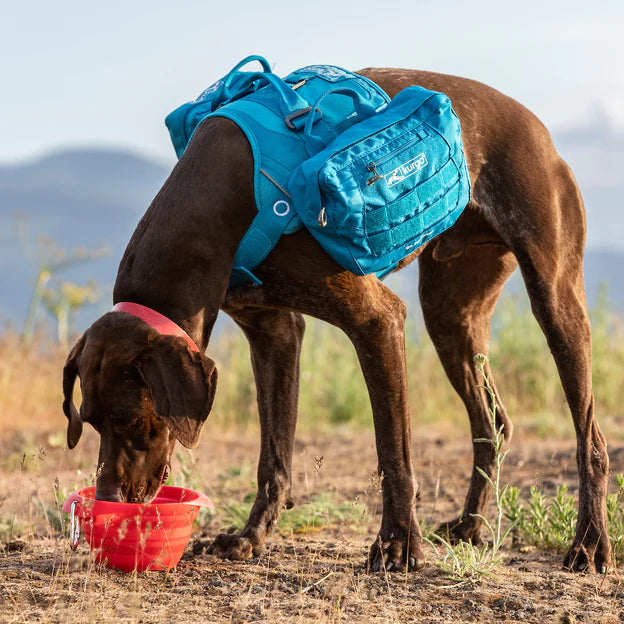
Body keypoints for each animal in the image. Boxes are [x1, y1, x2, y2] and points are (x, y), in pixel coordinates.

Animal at [62, 67, 608, 572]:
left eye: (134, 421)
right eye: (89, 422)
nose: (107, 502)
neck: (218, 199)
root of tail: (541, 131)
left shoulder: (378, 321)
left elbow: (393, 452)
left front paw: (397, 545)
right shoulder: (274, 333)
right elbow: (273, 458)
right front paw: (250, 538)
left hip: (555, 301)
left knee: (591, 441)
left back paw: (589, 544)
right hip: (450, 317)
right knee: (492, 425)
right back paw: (470, 527)